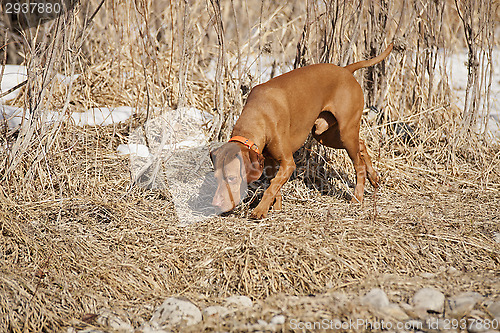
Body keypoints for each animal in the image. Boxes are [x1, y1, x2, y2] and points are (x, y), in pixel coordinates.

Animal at [209, 42, 392, 218]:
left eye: (232, 178)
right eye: (216, 178)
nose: (215, 204)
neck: (258, 114)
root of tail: (346, 70)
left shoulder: (288, 163)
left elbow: (272, 186)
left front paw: (260, 210)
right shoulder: (268, 162)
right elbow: (274, 186)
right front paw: (275, 208)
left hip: (345, 132)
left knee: (358, 164)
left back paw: (357, 197)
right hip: (325, 135)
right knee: (361, 143)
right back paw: (374, 177)